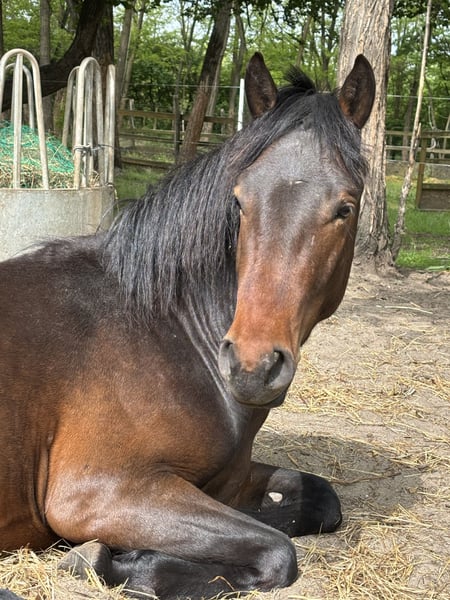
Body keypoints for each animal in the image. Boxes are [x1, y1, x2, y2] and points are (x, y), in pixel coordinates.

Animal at [0, 52, 375, 599]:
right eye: (238, 201)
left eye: (345, 208)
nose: (252, 366)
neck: (165, 328)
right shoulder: (97, 494)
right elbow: (277, 550)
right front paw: (106, 560)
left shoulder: (226, 483)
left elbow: (316, 502)